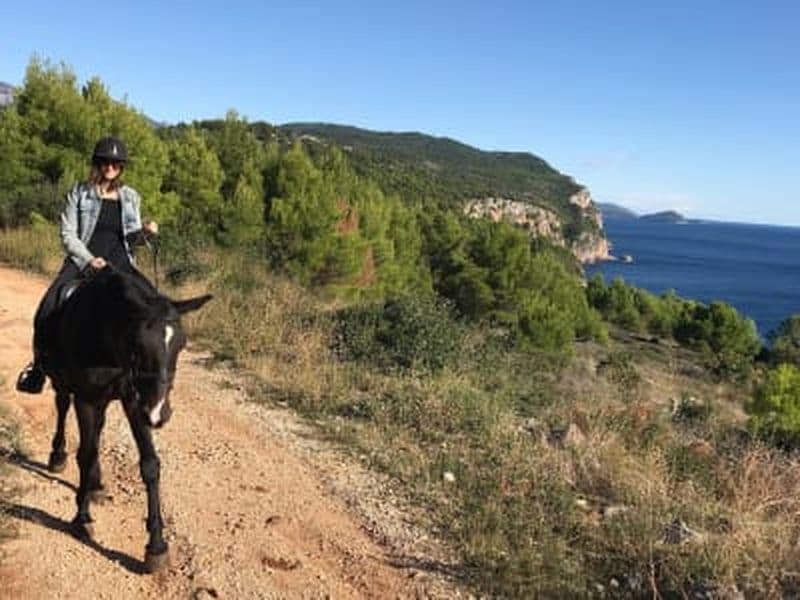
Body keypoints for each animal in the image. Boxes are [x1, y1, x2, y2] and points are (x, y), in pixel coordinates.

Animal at [41, 265, 211, 572]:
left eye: (181, 344)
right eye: (138, 344)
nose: (158, 413)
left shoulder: (134, 401)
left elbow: (150, 465)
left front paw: (156, 546)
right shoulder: (86, 399)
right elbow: (85, 454)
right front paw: (81, 519)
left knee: (98, 430)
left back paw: (96, 484)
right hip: (64, 386)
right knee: (62, 408)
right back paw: (58, 456)